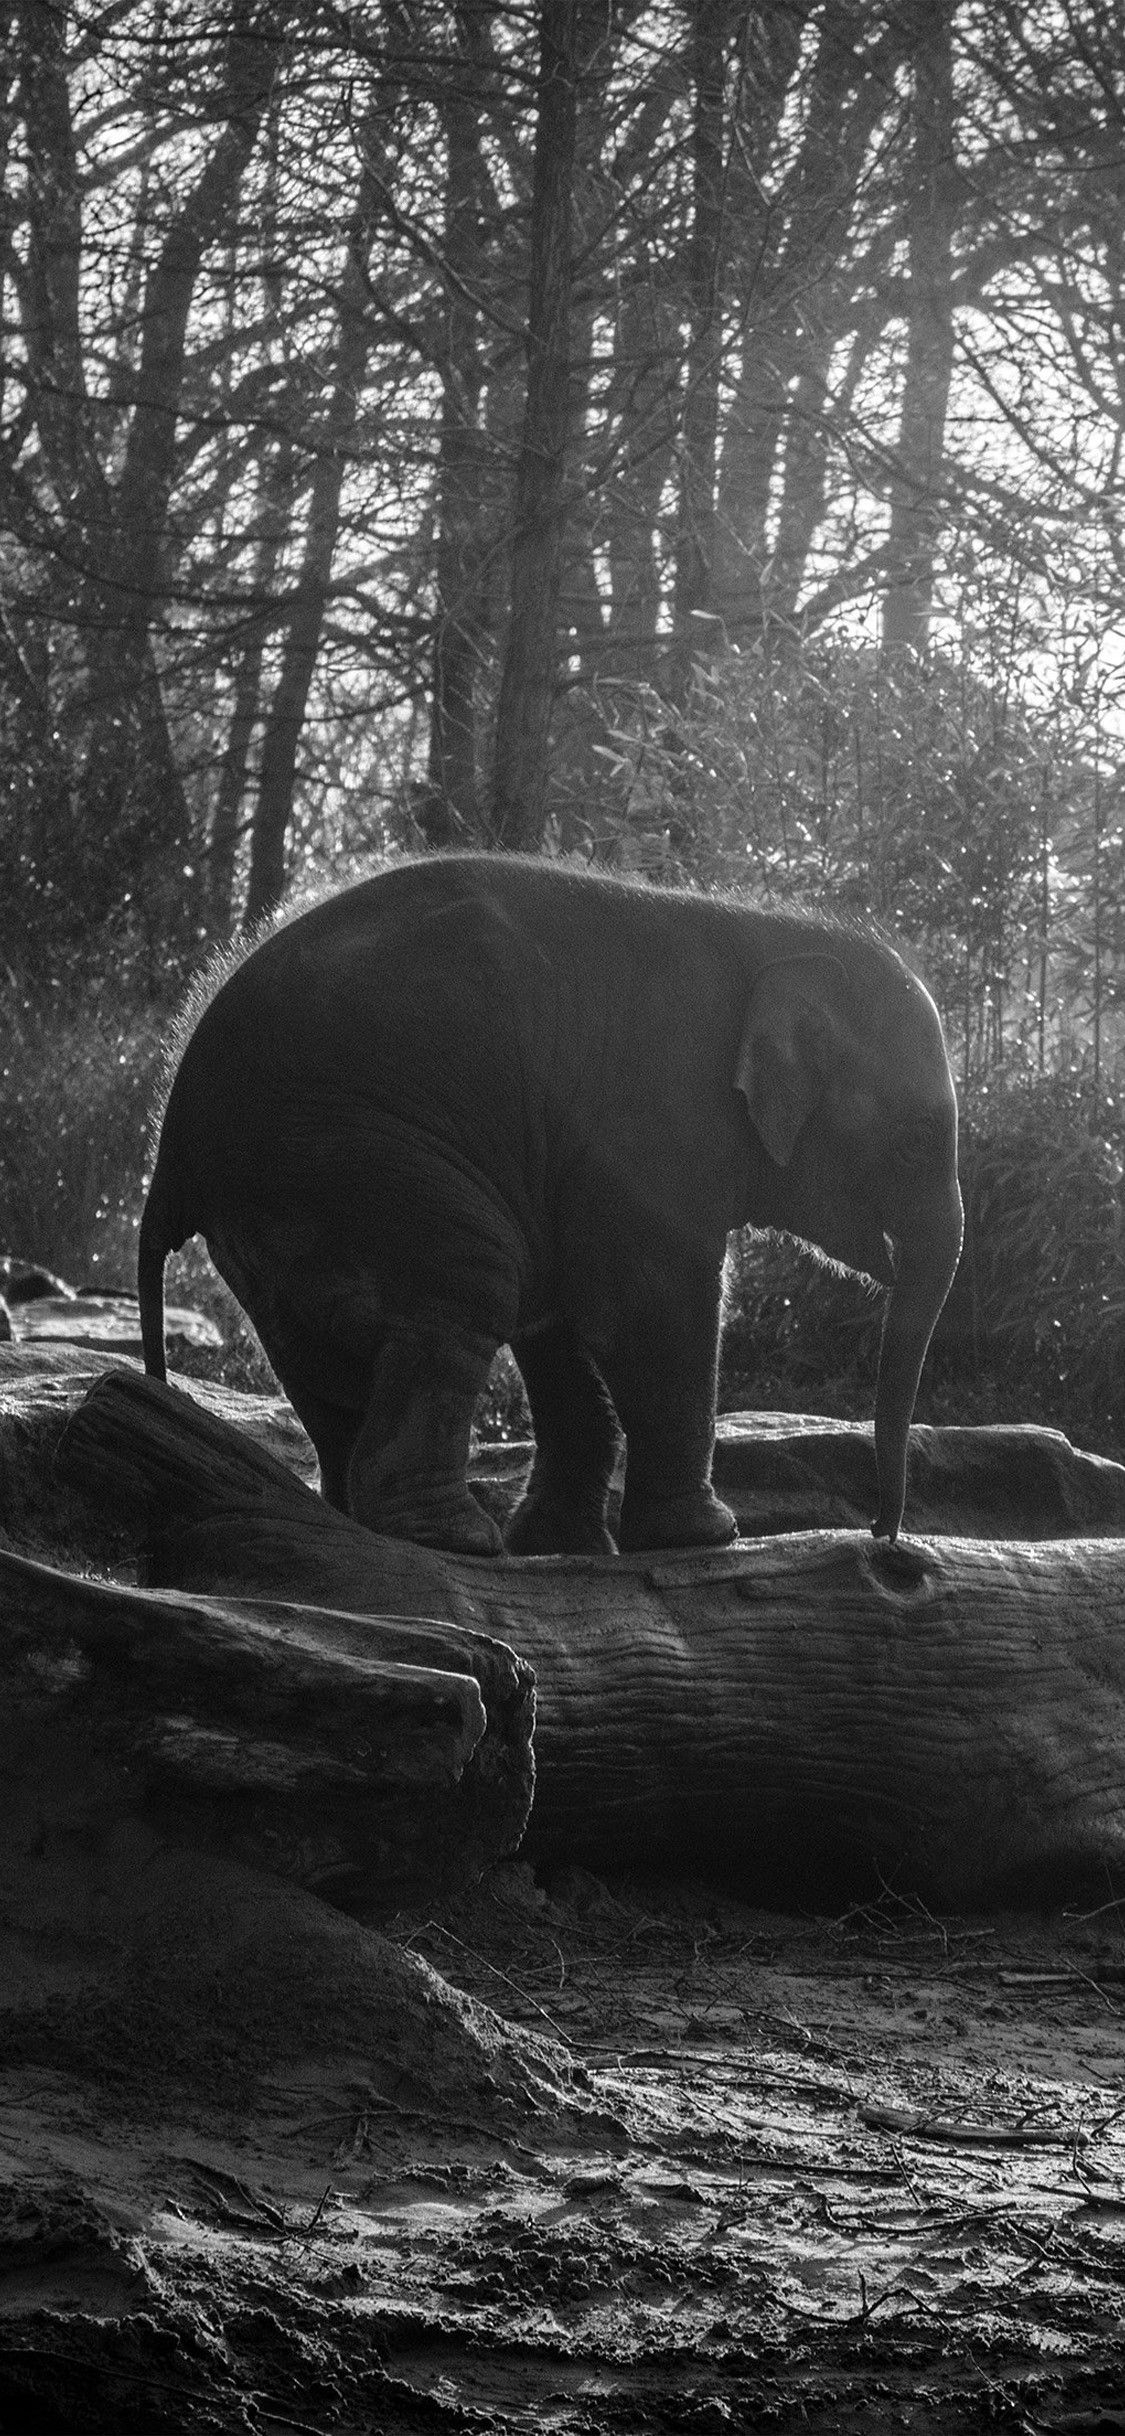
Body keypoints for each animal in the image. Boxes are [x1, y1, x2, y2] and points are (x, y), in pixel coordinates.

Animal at [139, 854, 963, 1556]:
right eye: (918, 1141)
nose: (882, 1533)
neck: (779, 936)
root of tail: (171, 1146)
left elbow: (566, 1320)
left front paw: (566, 1544)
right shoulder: (651, 1114)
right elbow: (646, 1304)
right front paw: (704, 1537)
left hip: (278, 1204)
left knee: (318, 1355)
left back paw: (363, 1518)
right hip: (346, 1155)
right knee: (470, 1281)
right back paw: (454, 1539)